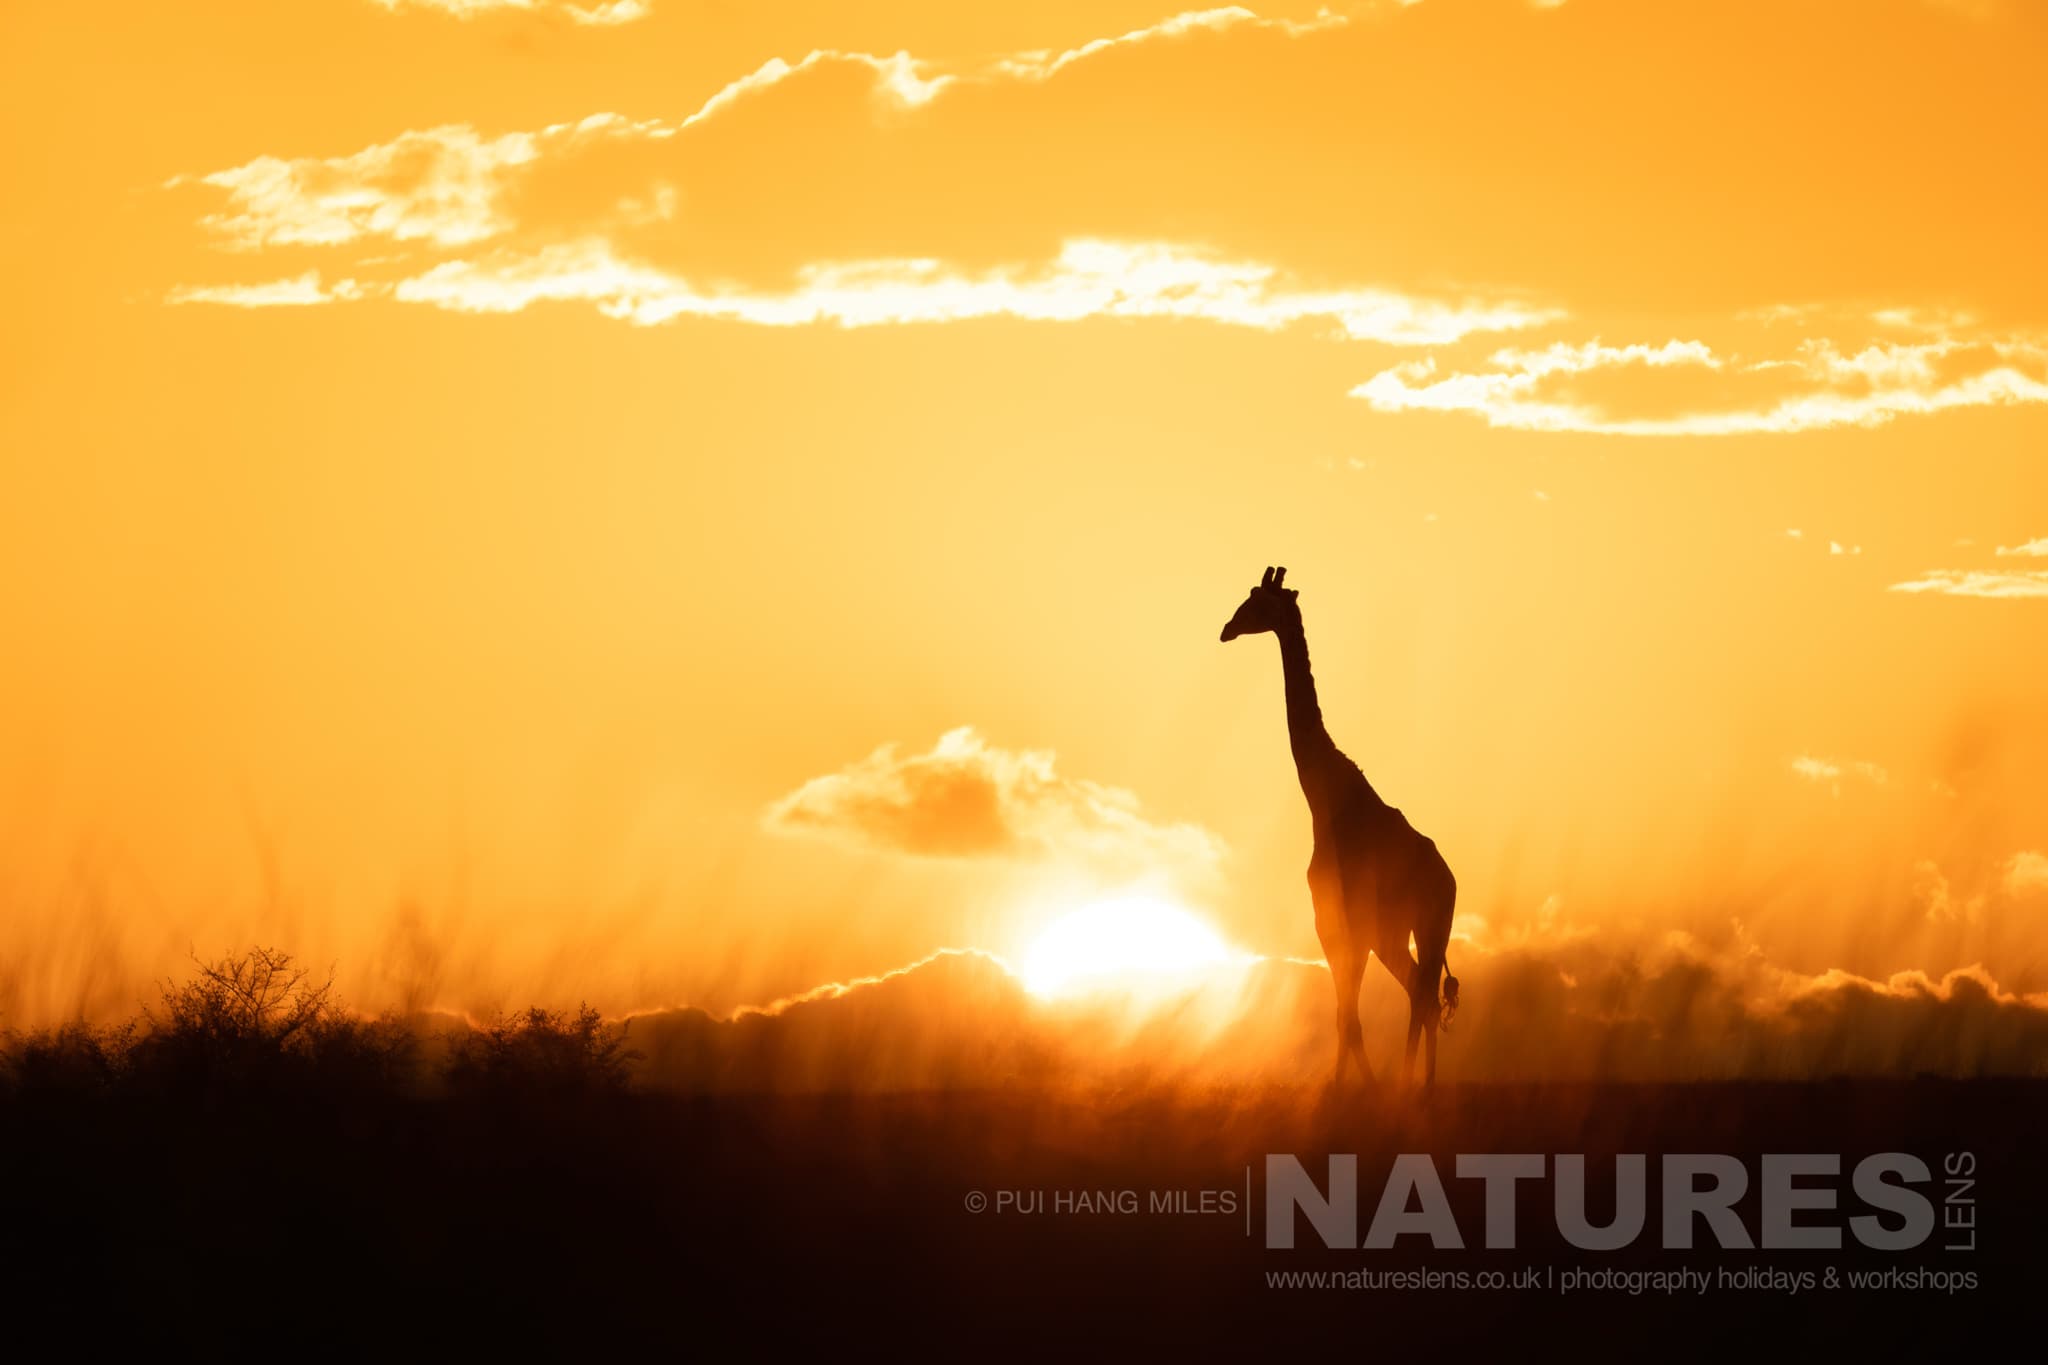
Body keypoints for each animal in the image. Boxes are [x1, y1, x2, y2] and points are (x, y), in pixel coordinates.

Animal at [1219, 566, 1459, 1090]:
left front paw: (1352, 1085)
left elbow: (1347, 1011)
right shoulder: (1338, 919)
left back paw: (1409, 1082)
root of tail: (1450, 879)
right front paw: (1347, 1083)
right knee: (1421, 990)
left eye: (1259, 603)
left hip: (1424, 924)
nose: (1226, 629)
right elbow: (1344, 1012)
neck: (1325, 796)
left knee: (1423, 992)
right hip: (1403, 930)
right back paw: (1422, 1084)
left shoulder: (1344, 919)